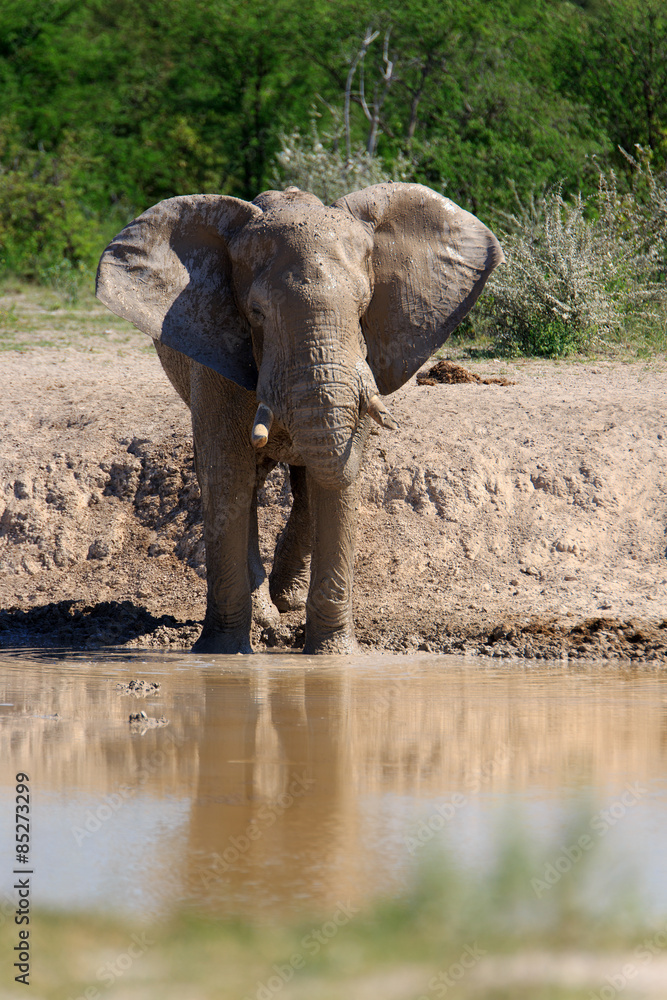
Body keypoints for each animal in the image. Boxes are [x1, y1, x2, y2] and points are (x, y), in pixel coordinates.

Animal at [96, 182, 503, 654]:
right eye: (257, 312)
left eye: (363, 306)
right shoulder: (216, 350)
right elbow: (227, 474)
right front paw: (222, 654)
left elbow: (334, 479)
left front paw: (332, 656)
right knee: (243, 482)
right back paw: (267, 617)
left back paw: (285, 602)